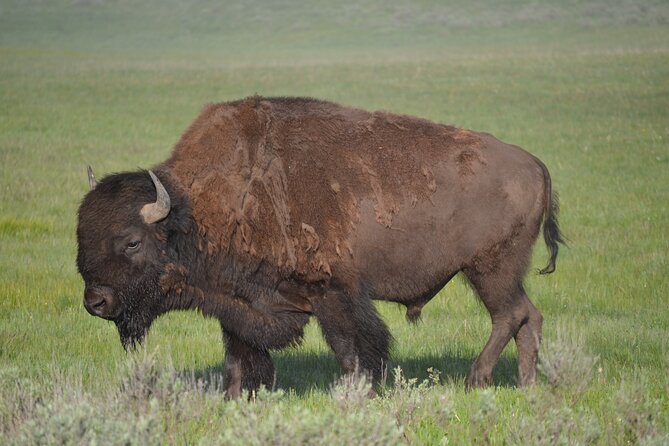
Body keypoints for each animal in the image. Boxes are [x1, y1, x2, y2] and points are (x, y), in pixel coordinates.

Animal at [75, 96, 560, 398]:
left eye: (132, 241)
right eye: (82, 235)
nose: (95, 302)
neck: (194, 211)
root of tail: (535, 164)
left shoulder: (332, 295)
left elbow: (352, 350)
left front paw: (357, 392)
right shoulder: (237, 303)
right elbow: (238, 357)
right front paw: (235, 397)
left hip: (489, 269)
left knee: (510, 315)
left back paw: (477, 380)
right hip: (500, 273)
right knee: (528, 316)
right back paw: (526, 384)